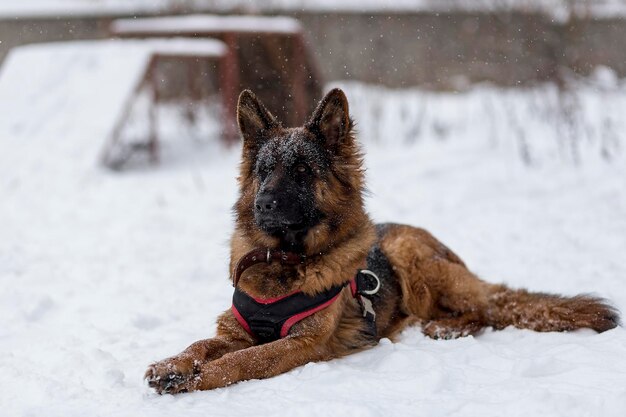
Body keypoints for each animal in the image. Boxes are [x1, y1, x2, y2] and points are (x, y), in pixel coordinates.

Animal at [144, 87, 616, 394]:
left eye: (302, 172)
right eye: (264, 171)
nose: (262, 205)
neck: (286, 263)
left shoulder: (301, 343)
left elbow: (244, 359)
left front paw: (200, 377)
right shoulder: (235, 329)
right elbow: (201, 344)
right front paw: (172, 365)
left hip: (413, 259)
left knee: (484, 310)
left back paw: (445, 327)